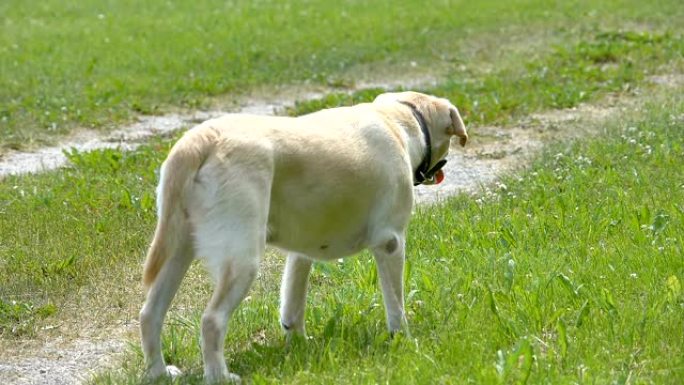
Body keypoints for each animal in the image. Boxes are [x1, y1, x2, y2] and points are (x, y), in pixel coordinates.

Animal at [139, 91, 470, 380]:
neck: (398, 119)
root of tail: (200, 139)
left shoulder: (300, 254)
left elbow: (293, 304)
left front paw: (298, 344)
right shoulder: (390, 243)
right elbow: (396, 306)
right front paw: (403, 340)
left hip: (177, 252)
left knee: (150, 314)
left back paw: (159, 372)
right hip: (242, 260)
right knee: (211, 321)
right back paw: (220, 376)